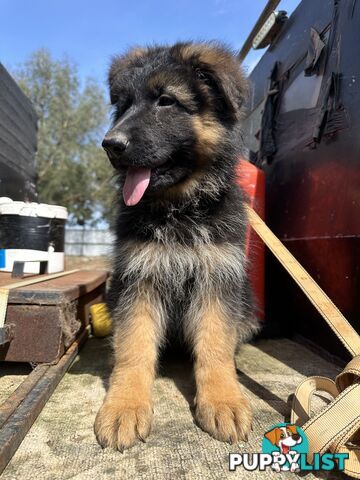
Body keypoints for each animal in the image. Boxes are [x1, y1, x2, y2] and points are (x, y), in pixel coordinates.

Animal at [94, 41, 260, 450]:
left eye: (166, 101)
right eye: (124, 105)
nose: (110, 145)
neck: (180, 208)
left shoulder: (217, 277)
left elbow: (215, 346)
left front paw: (223, 400)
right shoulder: (138, 279)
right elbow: (134, 348)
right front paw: (124, 406)